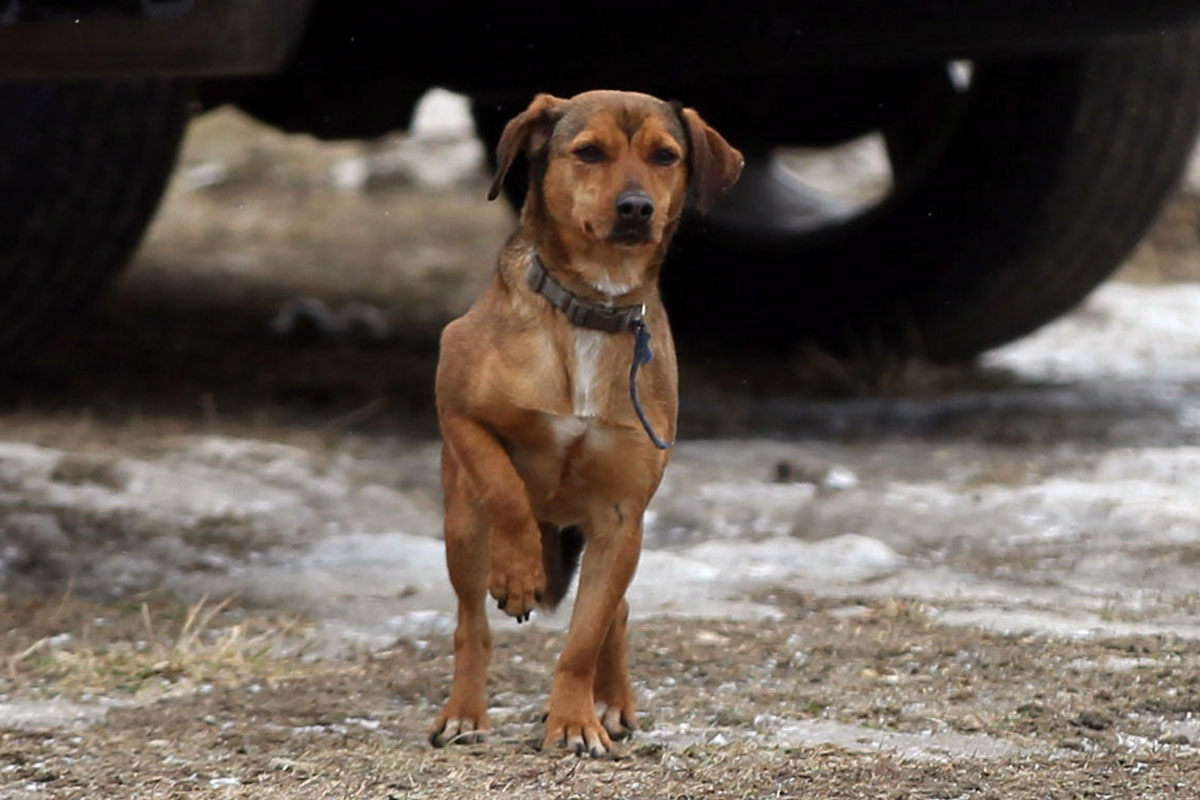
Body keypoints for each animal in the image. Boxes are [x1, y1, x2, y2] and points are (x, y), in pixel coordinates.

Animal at [434, 90, 739, 753]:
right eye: (590, 152)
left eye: (665, 156)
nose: (636, 207)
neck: (592, 309)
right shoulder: (458, 410)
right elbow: (506, 488)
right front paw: (519, 572)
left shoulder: (622, 519)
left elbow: (584, 639)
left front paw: (575, 721)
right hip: (461, 526)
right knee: (471, 624)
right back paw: (465, 712)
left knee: (614, 614)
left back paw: (614, 702)